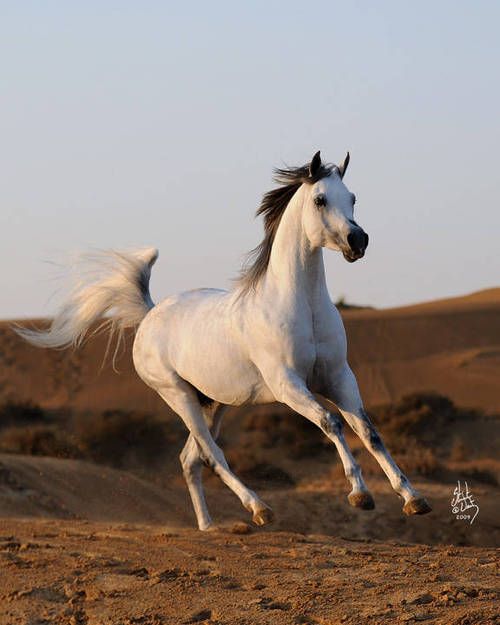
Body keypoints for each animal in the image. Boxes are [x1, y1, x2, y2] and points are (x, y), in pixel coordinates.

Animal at [19, 150, 432, 528]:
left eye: (353, 197)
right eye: (320, 199)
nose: (357, 240)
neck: (301, 305)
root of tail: (150, 313)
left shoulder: (338, 377)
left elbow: (369, 431)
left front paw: (413, 499)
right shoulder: (287, 385)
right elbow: (331, 423)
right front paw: (360, 495)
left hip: (213, 402)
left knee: (190, 459)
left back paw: (209, 527)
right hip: (179, 397)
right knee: (211, 454)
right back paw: (258, 509)